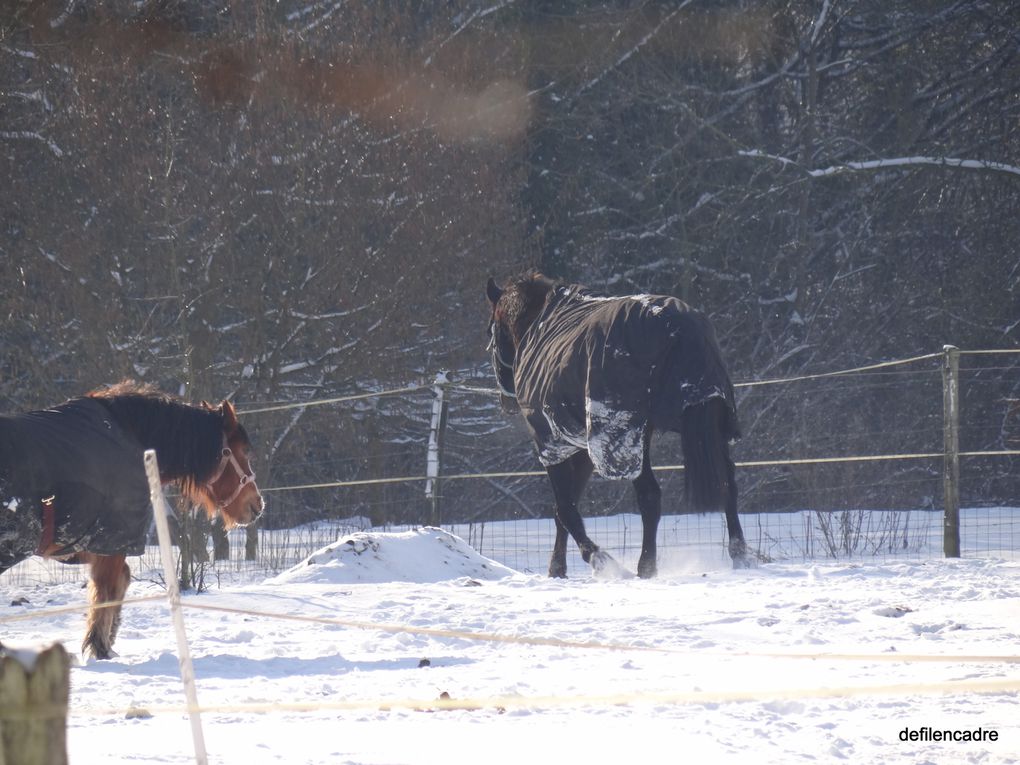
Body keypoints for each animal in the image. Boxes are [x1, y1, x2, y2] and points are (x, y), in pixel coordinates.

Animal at [0, 383, 263, 660]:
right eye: (244, 451)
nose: (257, 505)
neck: (129, 437)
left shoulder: (91, 546)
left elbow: (119, 582)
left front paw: (108, 639)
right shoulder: (112, 544)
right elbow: (107, 591)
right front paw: (101, 647)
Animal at [485, 273, 750, 579]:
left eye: (491, 332)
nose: (506, 401)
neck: (539, 323)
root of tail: (680, 328)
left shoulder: (551, 441)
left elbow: (565, 508)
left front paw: (600, 559)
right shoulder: (582, 447)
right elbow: (565, 508)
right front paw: (557, 569)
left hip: (626, 435)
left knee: (650, 495)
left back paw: (645, 567)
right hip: (704, 421)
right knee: (726, 482)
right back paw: (740, 556)